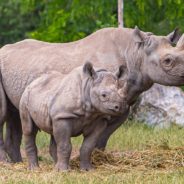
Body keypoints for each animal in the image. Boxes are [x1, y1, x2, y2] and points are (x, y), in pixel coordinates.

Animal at [0, 26, 183, 162]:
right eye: (167, 61)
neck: (136, 53)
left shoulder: (121, 105)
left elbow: (103, 136)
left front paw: (99, 158)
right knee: (3, 114)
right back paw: (7, 164)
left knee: (14, 114)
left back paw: (18, 163)